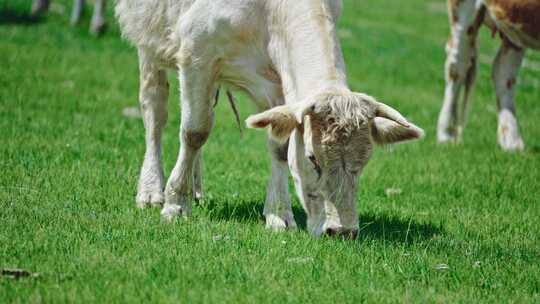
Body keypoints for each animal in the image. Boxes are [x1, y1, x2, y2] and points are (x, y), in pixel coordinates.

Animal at [116, 0, 424, 238]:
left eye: (364, 162)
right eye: (312, 158)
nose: (342, 231)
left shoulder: (280, 81)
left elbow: (280, 147)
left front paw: (279, 215)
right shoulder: (196, 53)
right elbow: (195, 131)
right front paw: (176, 205)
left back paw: (196, 188)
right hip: (148, 41)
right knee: (155, 111)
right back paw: (151, 190)